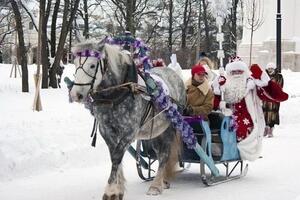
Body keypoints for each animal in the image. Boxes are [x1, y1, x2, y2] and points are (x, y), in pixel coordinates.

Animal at [69, 41, 186, 200]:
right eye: (75, 63)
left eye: (92, 65)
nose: (76, 94)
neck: (117, 94)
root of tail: (174, 74)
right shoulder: (107, 131)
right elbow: (114, 157)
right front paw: (118, 189)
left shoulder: (129, 132)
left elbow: (117, 156)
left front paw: (110, 191)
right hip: (155, 131)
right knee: (159, 152)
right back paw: (163, 181)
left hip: (170, 127)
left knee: (164, 155)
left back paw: (155, 186)